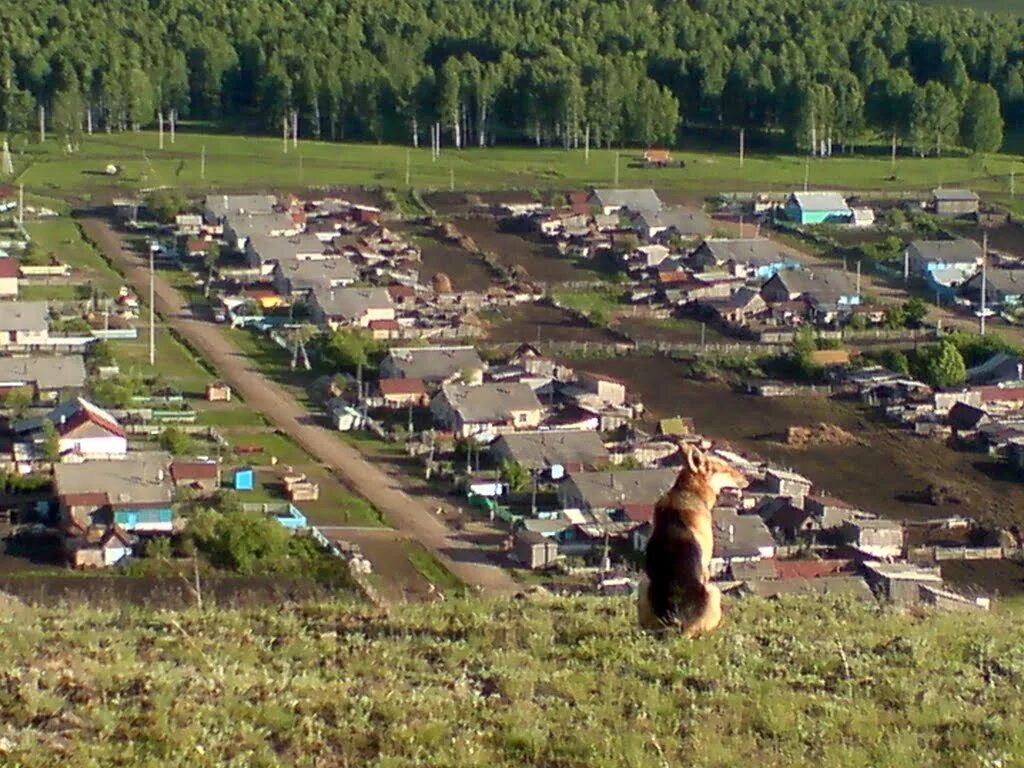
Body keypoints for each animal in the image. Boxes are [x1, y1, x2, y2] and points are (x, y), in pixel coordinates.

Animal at [634, 444, 749, 638]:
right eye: (725, 469)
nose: (747, 480)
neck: (687, 490)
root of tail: (676, 622)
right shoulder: (706, 566)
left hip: (644, 586)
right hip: (714, 592)